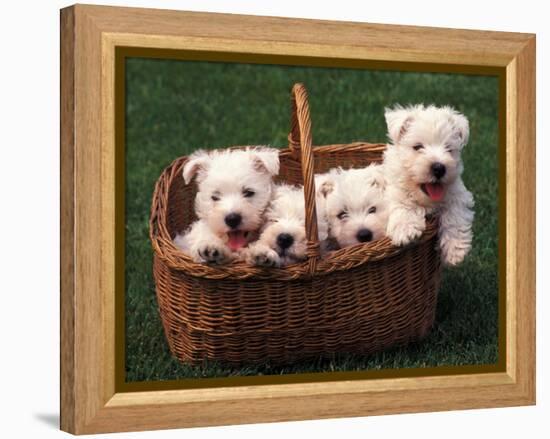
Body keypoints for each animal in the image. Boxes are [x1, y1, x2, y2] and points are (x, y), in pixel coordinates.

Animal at [382, 105, 476, 266]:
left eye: (448, 148)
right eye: (417, 147)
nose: (439, 168)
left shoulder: (457, 193)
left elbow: (454, 215)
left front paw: (455, 250)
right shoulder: (395, 190)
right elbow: (403, 204)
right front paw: (405, 230)